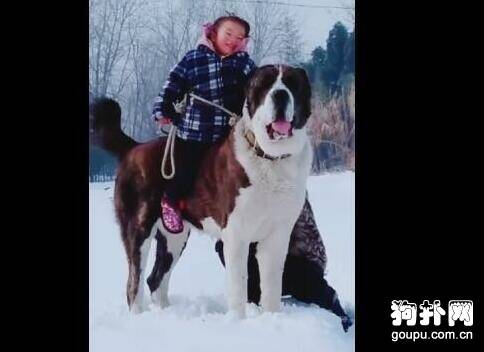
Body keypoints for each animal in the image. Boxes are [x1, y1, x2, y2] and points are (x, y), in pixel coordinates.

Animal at [91, 64, 348, 324]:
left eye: (292, 83)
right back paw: (139, 316)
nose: (280, 95)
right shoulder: (236, 234)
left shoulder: (277, 235)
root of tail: (133, 147)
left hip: (175, 236)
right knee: (134, 282)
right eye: (264, 84)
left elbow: (272, 286)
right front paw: (239, 321)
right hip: (139, 227)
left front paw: (271, 317)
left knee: (155, 279)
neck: (269, 158)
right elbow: (239, 286)